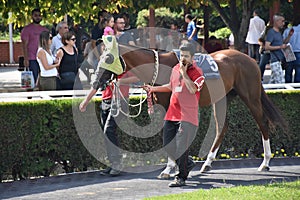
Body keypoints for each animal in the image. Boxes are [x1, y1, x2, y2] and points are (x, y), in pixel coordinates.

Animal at [97, 43, 288, 173]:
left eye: (109, 59)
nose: (97, 81)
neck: (159, 69)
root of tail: (251, 60)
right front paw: (180, 164)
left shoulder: (170, 106)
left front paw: (172, 167)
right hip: (222, 98)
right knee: (221, 127)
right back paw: (207, 163)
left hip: (251, 97)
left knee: (262, 122)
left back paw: (265, 162)